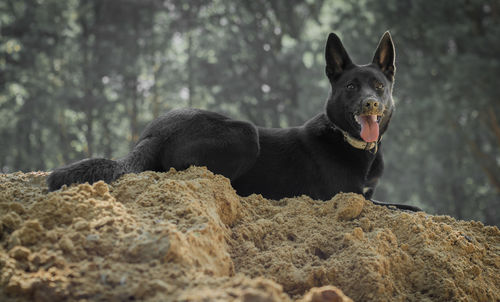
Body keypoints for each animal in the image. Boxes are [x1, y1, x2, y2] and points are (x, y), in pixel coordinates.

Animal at [47, 33, 422, 211]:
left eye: (378, 86)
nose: (371, 103)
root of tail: (153, 132)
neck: (345, 137)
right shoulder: (350, 197)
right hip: (245, 133)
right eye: (350, 87)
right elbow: (409, 207)